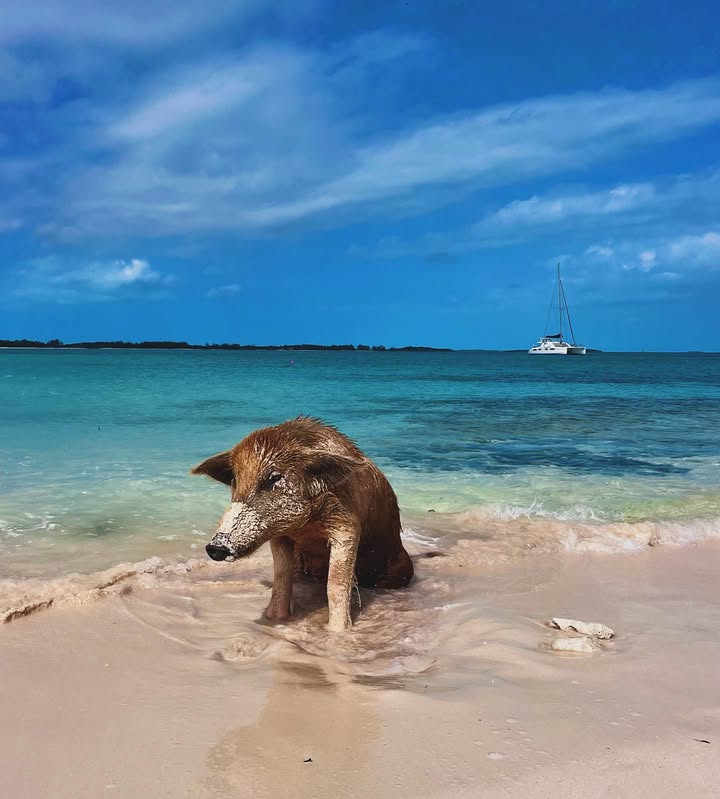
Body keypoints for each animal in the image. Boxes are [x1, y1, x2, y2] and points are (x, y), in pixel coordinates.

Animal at [192, 416, 414, 631]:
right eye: (235, 480)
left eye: (274, 478)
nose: (215, 547)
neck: (305, 527)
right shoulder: (280, 536)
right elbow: (281, 577)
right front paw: (274, 618)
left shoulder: (347, 523)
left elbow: (336, 583)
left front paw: (338, 630)